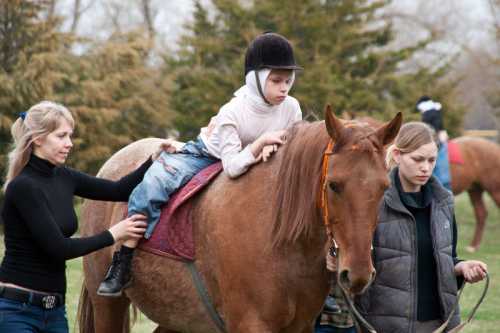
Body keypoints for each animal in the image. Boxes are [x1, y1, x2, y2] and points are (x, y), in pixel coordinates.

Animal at [76, 107, 400, 330]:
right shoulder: (250, 324)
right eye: (333, 185)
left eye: (384, 187)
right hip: (108, 307)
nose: (357, 274)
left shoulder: (300, 326)